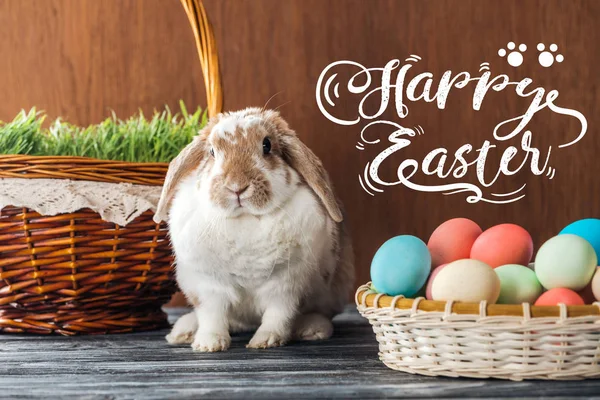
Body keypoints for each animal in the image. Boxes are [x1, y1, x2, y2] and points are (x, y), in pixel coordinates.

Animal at [152, 108, 354, 352]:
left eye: (266, 145)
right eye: (212, 151)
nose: (236, 186)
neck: (245, 219)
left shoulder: (285, 286)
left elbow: (278, 315)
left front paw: (265, 340)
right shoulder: (210, 287)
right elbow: (212, 316)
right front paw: (208, 343)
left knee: (319, 314)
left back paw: (311, 329)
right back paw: (183, 331)